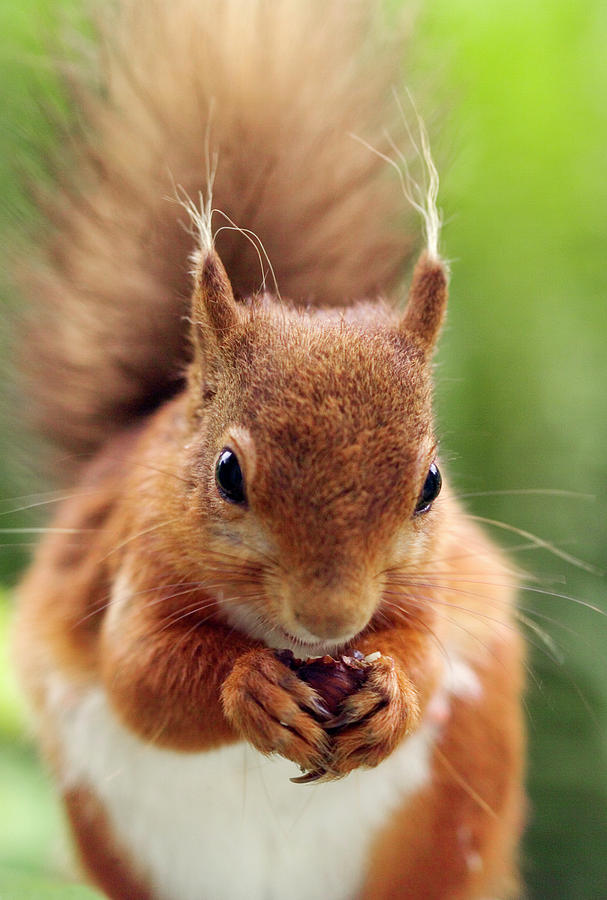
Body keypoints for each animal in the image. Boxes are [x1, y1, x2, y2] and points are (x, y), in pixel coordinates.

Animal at [13, 0, 528, 896]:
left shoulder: (438, 590)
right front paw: (247, 684)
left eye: (430, 483)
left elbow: (427, 653)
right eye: (227, 474)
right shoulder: (134, 566)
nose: (330, 620)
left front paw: (393, 694)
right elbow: (142, 677)